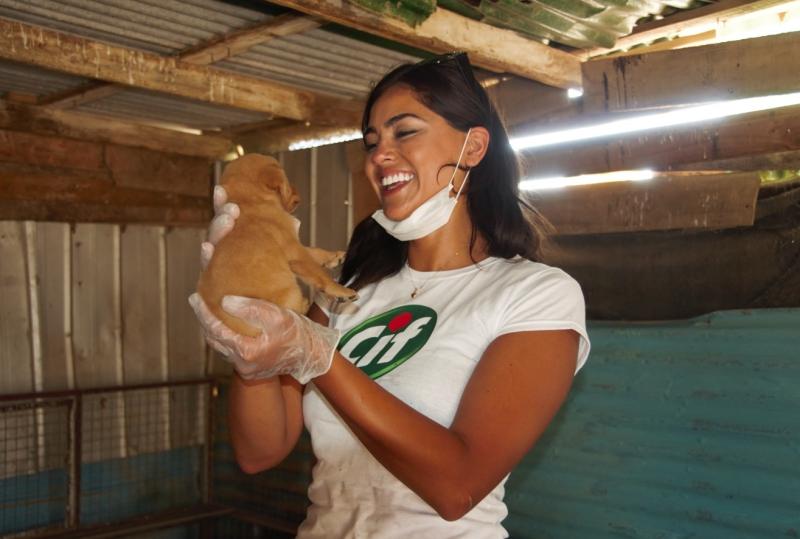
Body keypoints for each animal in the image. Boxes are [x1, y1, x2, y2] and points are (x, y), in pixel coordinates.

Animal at [196, 153, 357, 337]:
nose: (297, 191)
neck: (249, 201)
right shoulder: (295, 252)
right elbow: (319, 272)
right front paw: (341, 291)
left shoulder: (296, 246)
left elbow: (315, 252)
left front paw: (334, 256)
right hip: (290, 290)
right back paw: (304, 306)